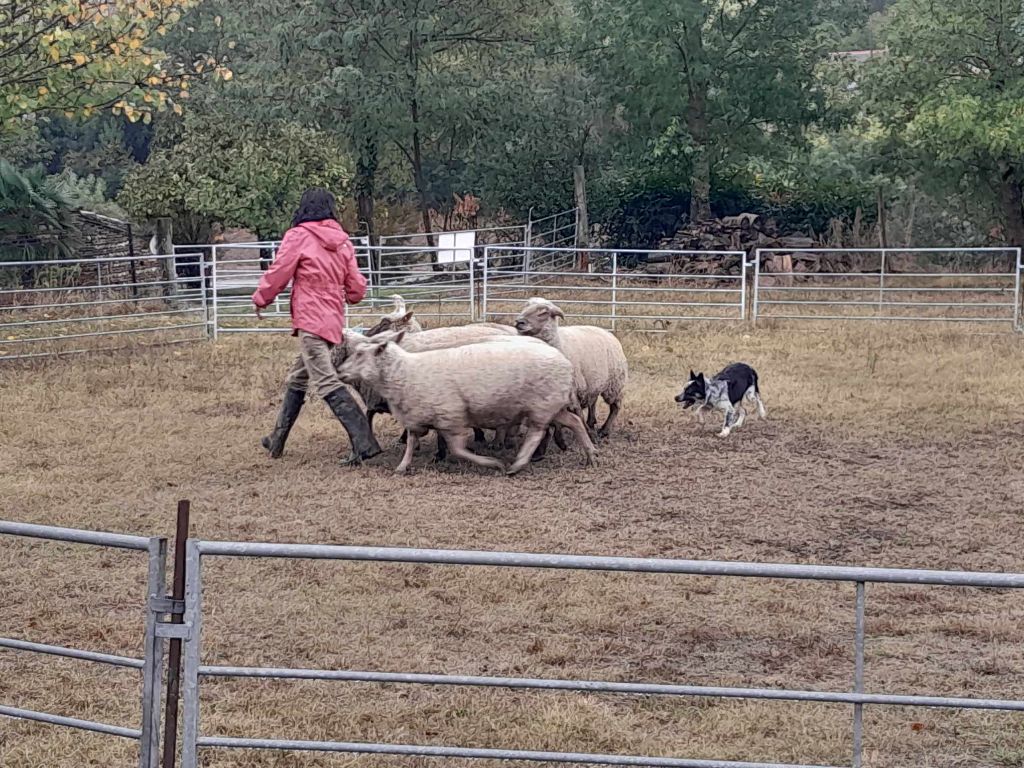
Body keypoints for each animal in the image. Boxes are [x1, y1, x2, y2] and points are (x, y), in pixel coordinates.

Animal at [335, 331, 598, 475]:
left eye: (360, 354)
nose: (339, 372)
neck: (405, 371)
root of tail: (565, 361)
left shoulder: (451, 417)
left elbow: (458, 450)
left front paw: (492, 464)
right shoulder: (418, 416)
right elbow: (410, 442)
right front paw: (402, 466)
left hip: (541, 406)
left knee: (536, 433)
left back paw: (518, 464)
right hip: (551, 405)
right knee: (574, 421)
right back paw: (591, 455)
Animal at [516, 299, 626, 442]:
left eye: (543, 312)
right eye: (525, 307)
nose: (519, 322)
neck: (559, 343)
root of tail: (608, 332)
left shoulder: (573, 389)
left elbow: (577, 412)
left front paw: (588, 435)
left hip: (614, 383)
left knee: (615, 406)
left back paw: (604, 430)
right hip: (594, 381)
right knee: (593, 401)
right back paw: (592, 422)